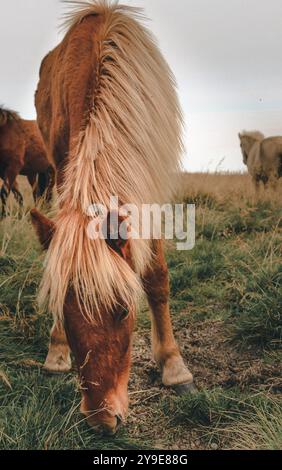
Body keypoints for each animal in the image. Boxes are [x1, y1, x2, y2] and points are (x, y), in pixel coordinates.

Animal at [32, 0, 193, 436]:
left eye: (123, 311)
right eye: (62, 313)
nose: (102, 421)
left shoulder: (151, 188)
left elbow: (155, 276)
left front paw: (173, 365)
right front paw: (57, 348)